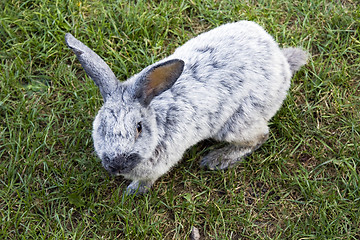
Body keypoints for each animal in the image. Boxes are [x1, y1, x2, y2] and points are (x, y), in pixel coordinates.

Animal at [64, 20, 306, 195]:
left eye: (139, 128)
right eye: (101, 127)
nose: (117, 165)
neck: (157, 120)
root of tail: (282, 64)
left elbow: (147, 180)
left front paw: (132, 192)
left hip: (238, 122)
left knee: (260, 137)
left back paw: (216, 160)